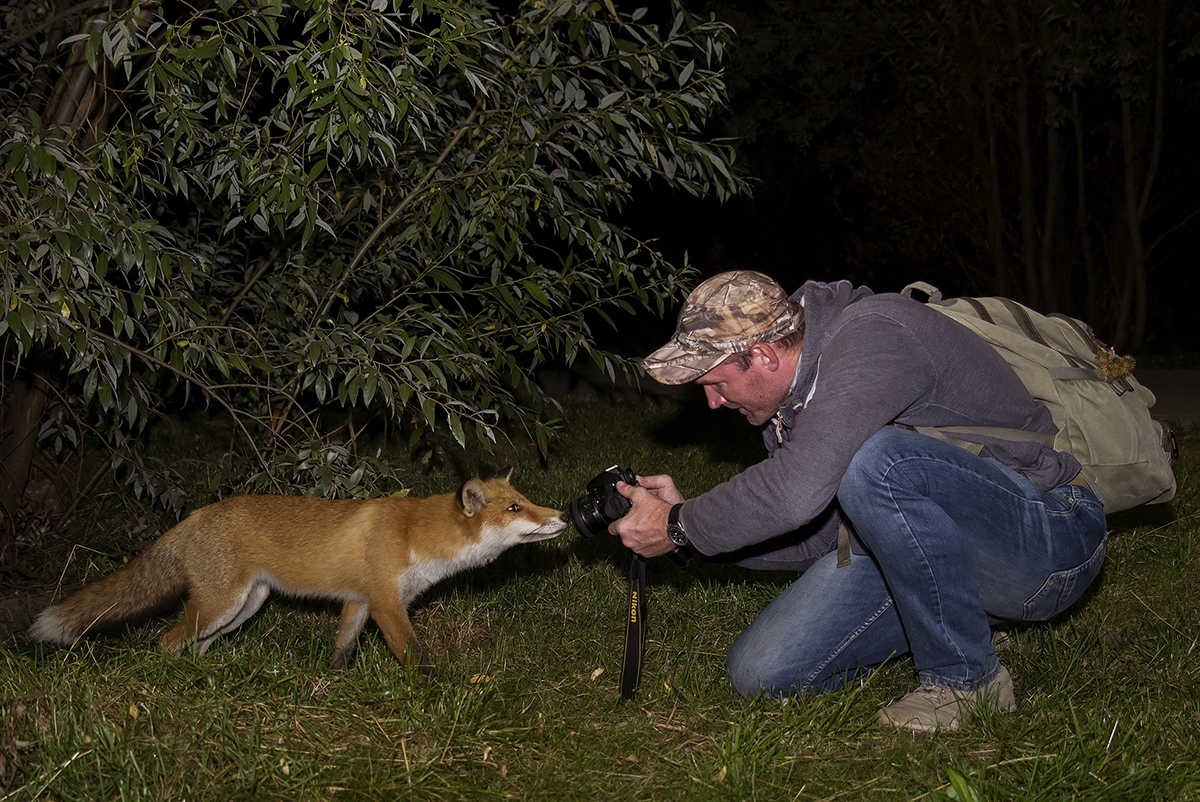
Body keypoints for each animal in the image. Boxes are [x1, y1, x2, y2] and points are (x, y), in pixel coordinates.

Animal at [29, 470, 566, 672]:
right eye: (516, 508)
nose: (562, 516)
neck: (418, 536)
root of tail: (197, 513)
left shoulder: (361, 602)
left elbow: (342, 650)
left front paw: (332, 686)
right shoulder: (387, 603)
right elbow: (414, 656)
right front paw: (434, 691)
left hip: (245, 607)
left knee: (198, 644)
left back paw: (203, 681)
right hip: (221, 604)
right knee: (166, 641)